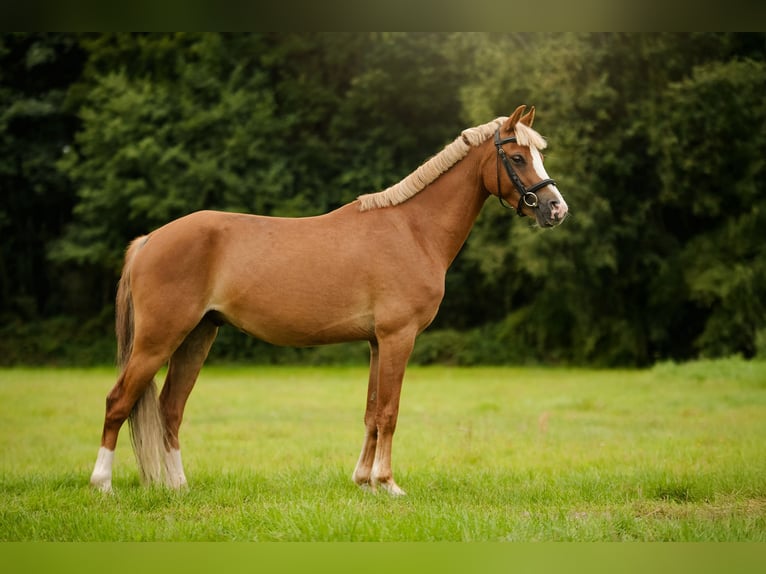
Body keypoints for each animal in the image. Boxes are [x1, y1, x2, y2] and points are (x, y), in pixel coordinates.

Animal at [89, 105, 568, 495]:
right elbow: (390, 411)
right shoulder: (398, 337)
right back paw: (103, 485)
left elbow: (372, 412)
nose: (556, 209)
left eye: (538, 156)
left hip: (197, 337)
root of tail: (149, 240)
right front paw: (388, 483)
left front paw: (364, 481)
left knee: (170, 409)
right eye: (518, 157)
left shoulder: (376, 342)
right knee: (118, 402)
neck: (413, 229)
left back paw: (178, 487)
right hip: (158, 339)